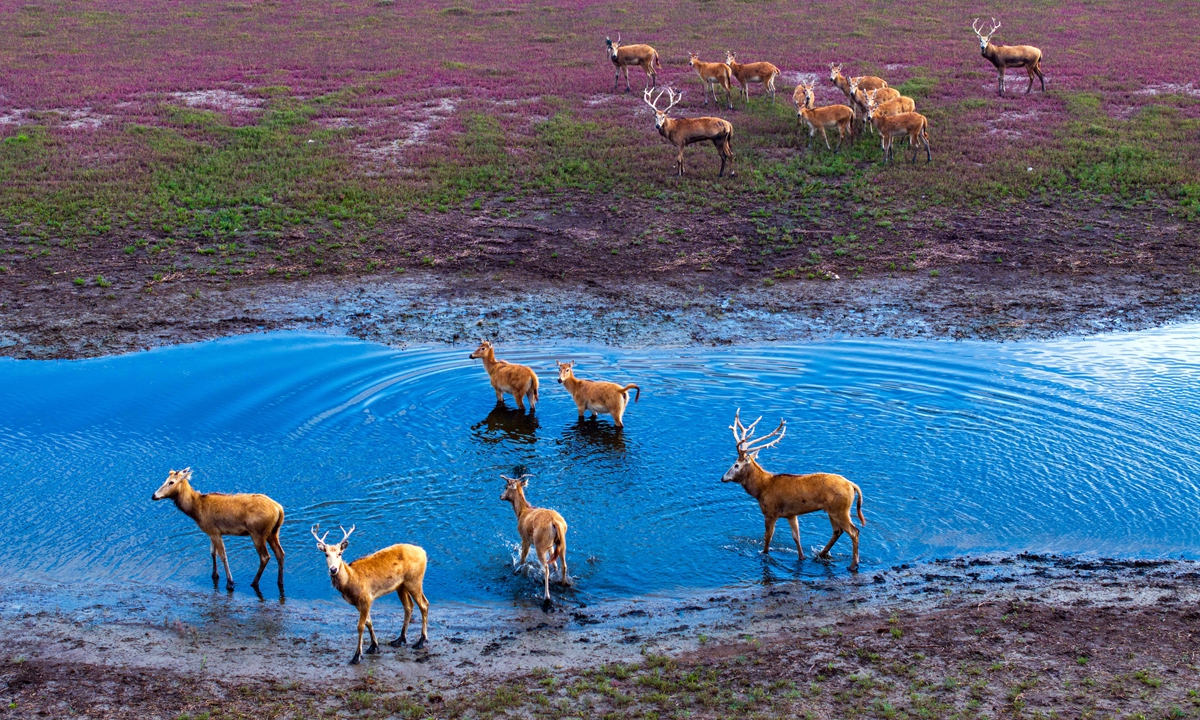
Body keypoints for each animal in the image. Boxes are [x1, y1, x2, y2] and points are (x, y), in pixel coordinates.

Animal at [151, 468, 284, 592]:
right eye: (165, 480)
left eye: (171, 482)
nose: (154, 496)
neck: (196, 510)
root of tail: (279, 509)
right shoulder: (211, 532)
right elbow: (212, 552)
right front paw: (214, 574)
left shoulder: (214, 531)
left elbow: (223, 555)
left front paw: (230, 583)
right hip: (273, 532)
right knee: (280, 553)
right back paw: (279, 581)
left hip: (258, 533)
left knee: (265, 557)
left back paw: (254, 582)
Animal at [312, 524, 430, 665]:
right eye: (326, 554)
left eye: (340, 553)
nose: (333, 569)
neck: (350, 581)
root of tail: (423, 552)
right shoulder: (358, 603)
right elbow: (369, 622)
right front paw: (374, 646)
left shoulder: (366, 599)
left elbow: (360, 626)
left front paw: (357, 656)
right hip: (401, 585)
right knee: (409, 606)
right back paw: (399, 640)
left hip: (414, 580)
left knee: (423, 605)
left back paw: (421, 641)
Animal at [500, 474, 569, 607]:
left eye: (506, 486)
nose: (500, 496)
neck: (521, 512)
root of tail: (555, 523)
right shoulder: (551, 545)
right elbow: (554, 561)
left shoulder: (525, 538)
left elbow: (523, 559)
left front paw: (517, 570)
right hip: (562, 543)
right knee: (564, 565)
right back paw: (563, 584)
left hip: (539, 545)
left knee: (546, 568)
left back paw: (546, 597)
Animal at [722, 411, 865, 571]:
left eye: (736, 465)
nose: (723, 478)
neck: (761, 489)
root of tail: (853, 486)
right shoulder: (791, 514)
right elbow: (796, 537)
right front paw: (802, 557)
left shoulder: (770, 512)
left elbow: (768, 537)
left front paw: (763, 553)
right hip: (832, 510)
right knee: (837, 531)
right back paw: (821, 554)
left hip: (840, 509)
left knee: (854, 531)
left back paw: (853, 565)